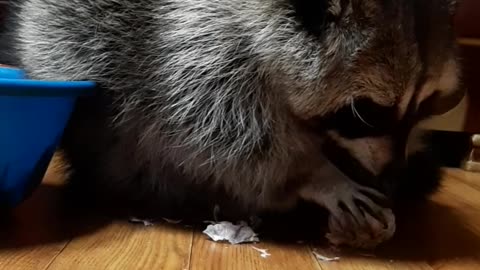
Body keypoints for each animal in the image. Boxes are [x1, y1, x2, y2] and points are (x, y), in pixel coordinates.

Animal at [1, 0, 464, 249]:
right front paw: (315, 174)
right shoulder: (195, 43)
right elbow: (214, 129)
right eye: (365, 113)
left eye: (422, 106)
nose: (393, 176)